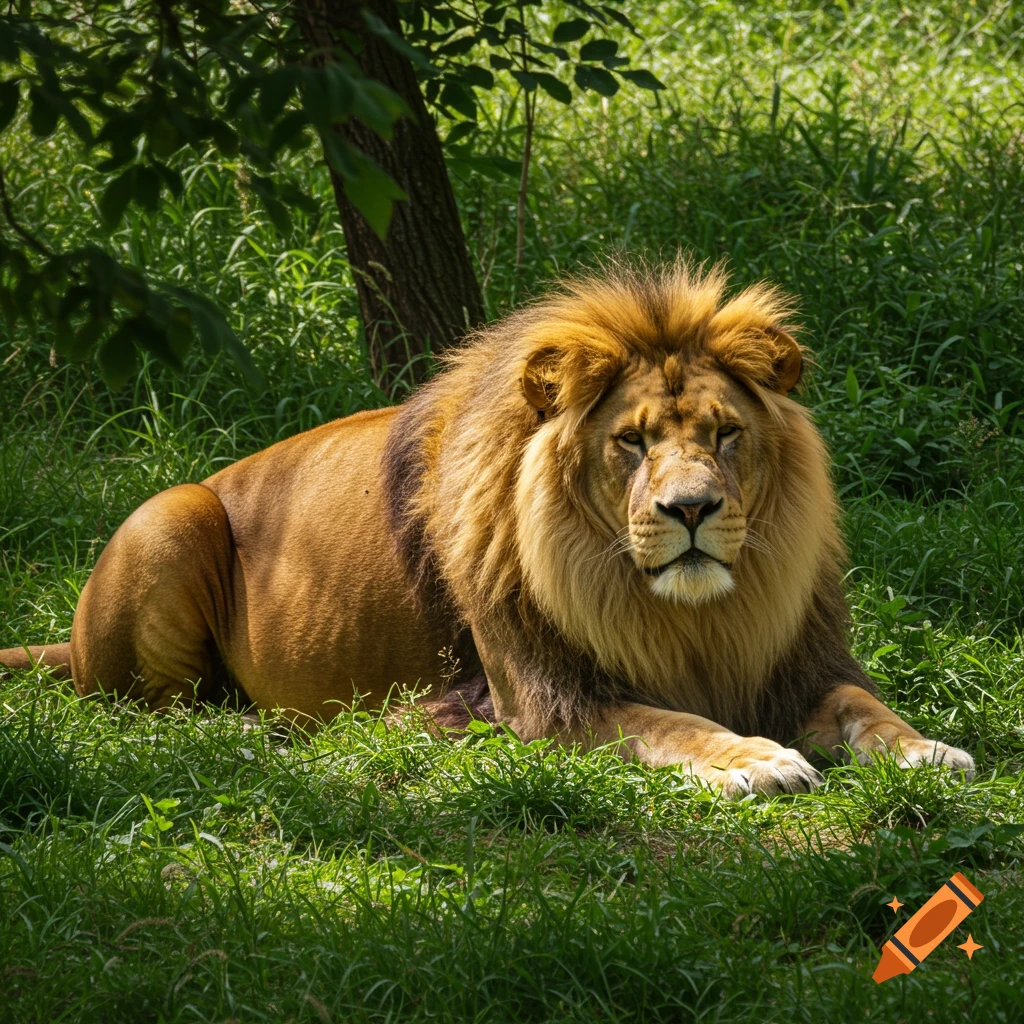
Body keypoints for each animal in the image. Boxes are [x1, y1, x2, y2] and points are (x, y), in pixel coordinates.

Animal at [0, 264, 974, 796]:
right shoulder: (545, 701)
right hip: (171, 512)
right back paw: (241, 731)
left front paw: (927, 747)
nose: (692, 510)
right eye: (631, 442)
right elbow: (670, 721)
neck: (690, 616)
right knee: (152, 715)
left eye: (726, 434)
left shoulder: (801, 661)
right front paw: (754, 759)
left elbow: (864, 706)